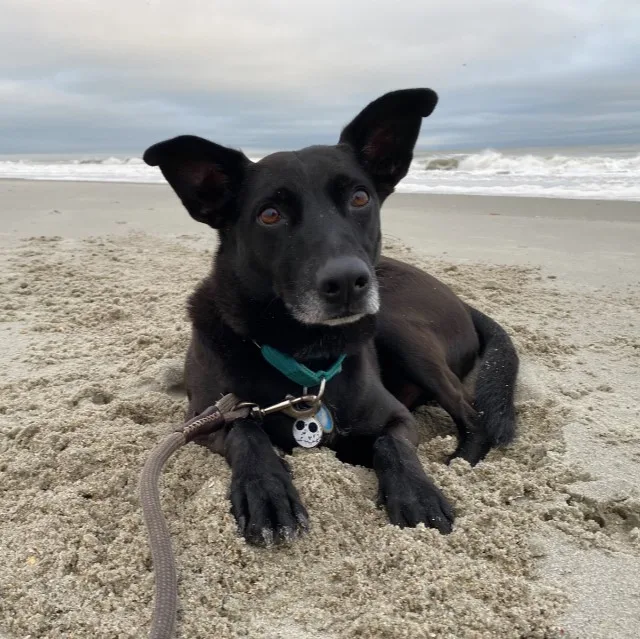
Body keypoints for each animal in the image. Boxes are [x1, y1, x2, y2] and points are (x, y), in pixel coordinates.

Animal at [142, 89, 516, 544]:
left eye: (360, 198)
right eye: (270, 214)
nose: (348, 281)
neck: (307, 357)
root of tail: (462, 301)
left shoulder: (397, 418)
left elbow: (392, 446)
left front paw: (418, 494)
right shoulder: (204, 418)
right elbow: (246, 430)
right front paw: (266, 491)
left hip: (397, 327)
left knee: (473, 417)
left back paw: (457, 463)